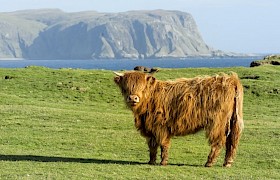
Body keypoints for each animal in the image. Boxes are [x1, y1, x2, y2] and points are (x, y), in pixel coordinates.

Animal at [114, 71, 243, 167]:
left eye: (143, 87)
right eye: (125, 88)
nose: (133, 98)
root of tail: (231, 80)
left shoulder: (160, 127)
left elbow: (163, 144)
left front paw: (163, 162)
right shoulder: (149, 128)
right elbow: (152, 146)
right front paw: (151, 161)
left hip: (218, 123)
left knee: (219, 141)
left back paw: (209, 162)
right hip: (232, 120)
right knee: (231, 141)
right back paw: (227, 163)